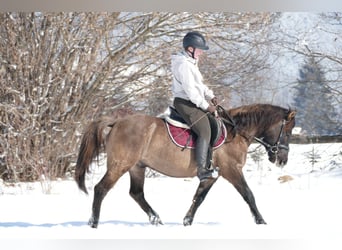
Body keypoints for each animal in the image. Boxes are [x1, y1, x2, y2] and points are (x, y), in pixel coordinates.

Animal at [75, 102, 296, 228]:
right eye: (287, 131)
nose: (282, 160)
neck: (236, 133)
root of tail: (117, 122)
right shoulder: (231, 170)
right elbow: (248, 195)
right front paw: (261, 221)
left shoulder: (212, 176)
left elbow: (199, 198)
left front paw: (187, 221)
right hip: (120, 165)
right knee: (101, 189)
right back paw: (93, 223)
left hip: (137, 167)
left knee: (136, 194)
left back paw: (156, 219)